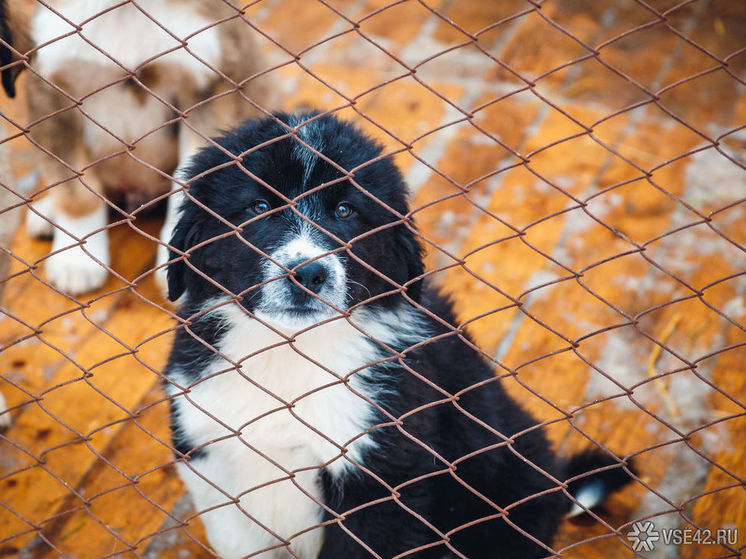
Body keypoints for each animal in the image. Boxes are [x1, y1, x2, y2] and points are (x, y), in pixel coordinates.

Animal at [3, 0, 270, 296]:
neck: (127, 11)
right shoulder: (54, 95)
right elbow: (77, 192)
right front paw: (77, 259)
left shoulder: (209, 87)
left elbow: (189, 181)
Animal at [164, 111, 632, 556]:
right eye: (258, 206)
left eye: (345, 211)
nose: (309, 274)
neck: (288, 351)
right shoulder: (207, 454)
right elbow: (236, 542)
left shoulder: (383, 480)